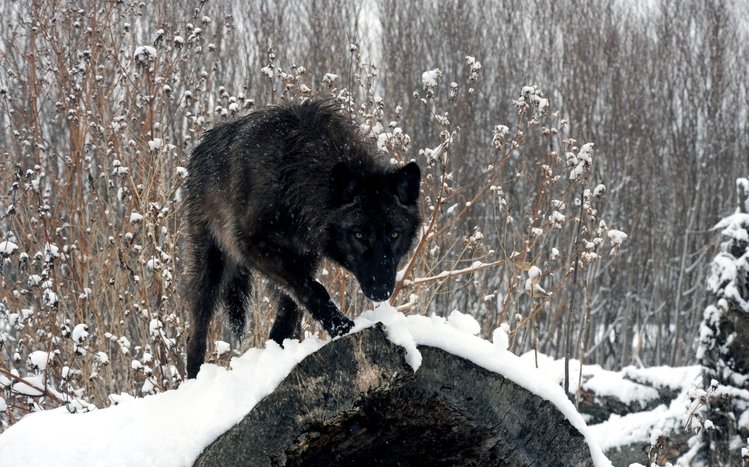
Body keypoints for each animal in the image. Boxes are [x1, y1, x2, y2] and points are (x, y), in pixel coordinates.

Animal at [183, 100, 421, 378]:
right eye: (359, 235)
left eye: (394, 234)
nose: (381, 290)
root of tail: (201, 147)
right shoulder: (253, 246)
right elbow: (313, 289)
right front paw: (341, 326)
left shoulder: (305, 256)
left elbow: (293, 306)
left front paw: (283, 352)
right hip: (211, 267)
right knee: (196, 333)